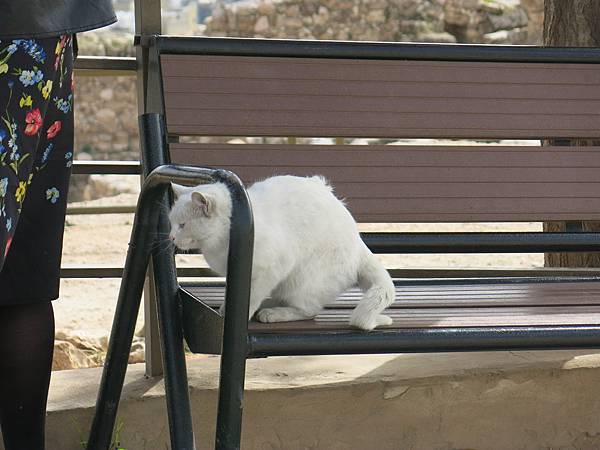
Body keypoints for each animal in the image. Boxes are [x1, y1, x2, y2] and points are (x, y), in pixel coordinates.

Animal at [169, 176, 396, 330]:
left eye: (182, 225)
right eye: (171, 223)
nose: (170, 237)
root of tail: (360, 244)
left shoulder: (273, 267)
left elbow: (251, 296)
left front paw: (238, 314)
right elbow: (240, 293)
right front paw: (228, 308)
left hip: (301, 281)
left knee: (308, 311)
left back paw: (272, 313)